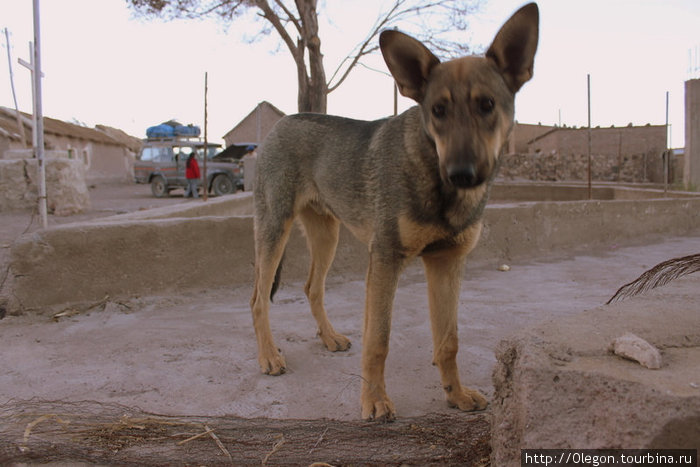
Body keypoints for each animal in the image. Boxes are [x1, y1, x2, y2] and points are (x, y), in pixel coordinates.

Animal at [249, 1, 540, 422]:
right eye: (437, 110)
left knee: (312, 287)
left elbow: (448, 341)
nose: (462, 173)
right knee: (258, 299)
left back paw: (329, 337)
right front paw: (374, 400)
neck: (433, 174)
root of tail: (282, 122)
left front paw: (456, 395)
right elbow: (379, 340)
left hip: (327, 234)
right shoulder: (385, 260)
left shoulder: (446, 264)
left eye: (487, 105)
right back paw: (269, 356)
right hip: (275, 229)